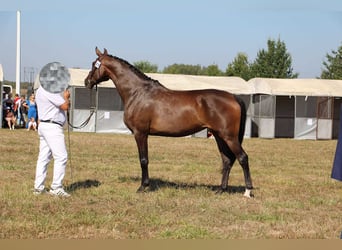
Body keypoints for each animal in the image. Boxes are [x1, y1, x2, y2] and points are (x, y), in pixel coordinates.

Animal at [84, 47, 252, 197]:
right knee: (227, 160)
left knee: (242, 157)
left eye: (93, 64)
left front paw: (143, 186)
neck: (138, 93)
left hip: (229, 136)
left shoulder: (140, 133)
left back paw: (248, 191)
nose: (87, 82)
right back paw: (221, 189)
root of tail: (233, 96)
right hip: (219, 136)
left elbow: (143, 160)